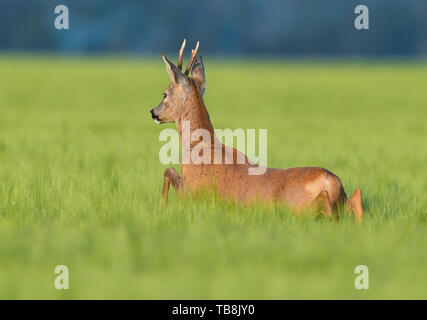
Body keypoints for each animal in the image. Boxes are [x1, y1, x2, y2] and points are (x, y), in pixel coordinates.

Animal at [151, 40, 364, 220]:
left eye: (164, 94)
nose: (153, 112)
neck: (197, 145)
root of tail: (332, 182)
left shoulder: (191, 190)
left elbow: (168, 170)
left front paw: (162, 207)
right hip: (346, 199)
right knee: (357, 198)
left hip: (297, 205)